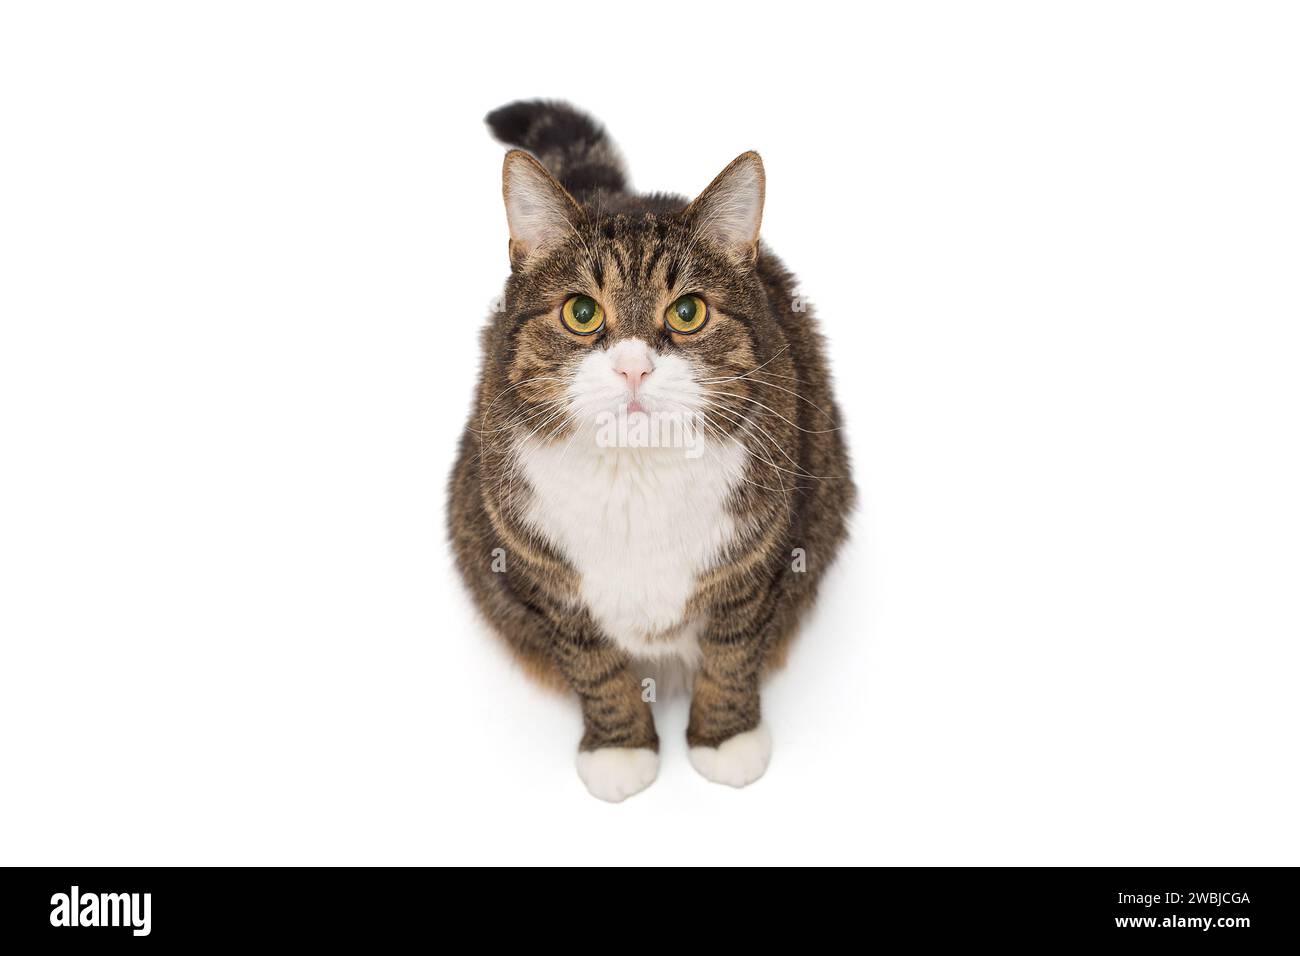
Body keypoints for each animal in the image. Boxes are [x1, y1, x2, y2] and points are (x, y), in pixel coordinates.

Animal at [447, 98, 852, 801]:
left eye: (688, 312)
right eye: (581, 312)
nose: (634, 367)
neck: (636, 479)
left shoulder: (759, 561)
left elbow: (732, 651)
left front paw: (726, 737)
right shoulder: (544, 573)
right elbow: (596, 669)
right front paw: (620, 749)